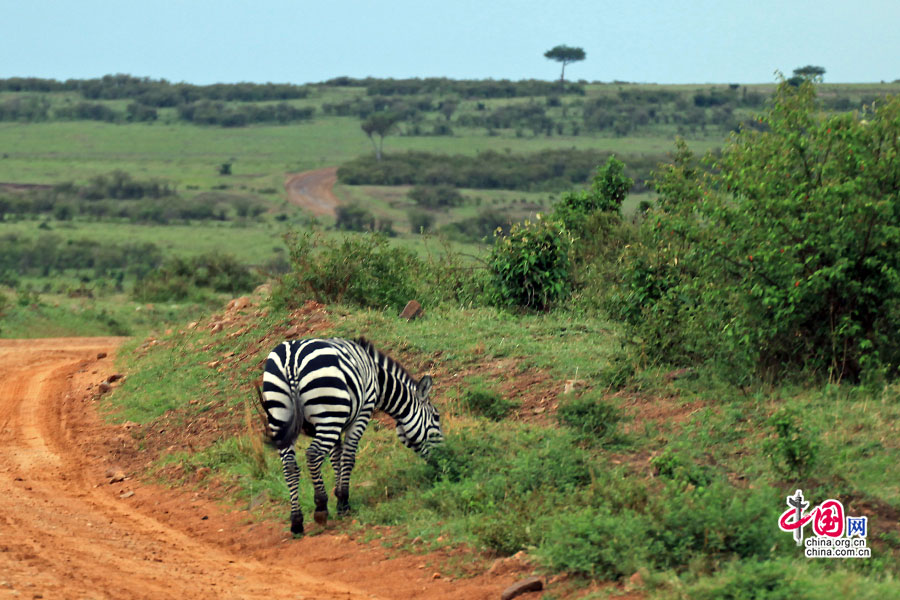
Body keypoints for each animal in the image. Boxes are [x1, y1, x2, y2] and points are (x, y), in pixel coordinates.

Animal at [256, 338, 442, 536]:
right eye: (436, 417)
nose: (445, 456)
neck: (378, 380)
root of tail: (291, 360)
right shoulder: (361, 413)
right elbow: (348, 458)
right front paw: (343, 502)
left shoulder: (338, 424)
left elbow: (336, 459)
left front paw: (339, 497)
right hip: (328, 413)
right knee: (313, 455)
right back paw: (321, 507)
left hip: (281, 416)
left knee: (290, 466)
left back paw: (296, 521)